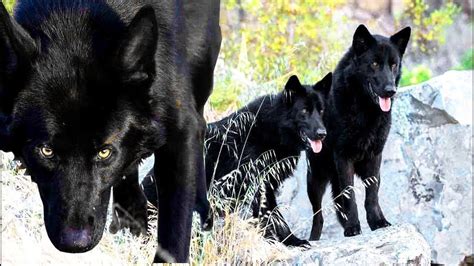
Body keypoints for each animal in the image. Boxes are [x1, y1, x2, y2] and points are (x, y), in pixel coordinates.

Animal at [143, 73, 332, 247]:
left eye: (321, 111)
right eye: (304, 111)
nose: (323, 134)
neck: (274, 127)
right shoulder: (260, 187)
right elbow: (274, 217)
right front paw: (288, 241)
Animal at [308, 25, 412, 240]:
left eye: (393, 65)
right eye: (374, 64)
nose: (391, 90)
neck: (366, 111)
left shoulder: (375, 157)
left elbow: (371, 195)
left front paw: (377, 222)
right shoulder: (343, 157)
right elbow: (351, 197)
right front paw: (353, 227)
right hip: (315, 179)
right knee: (318, 215)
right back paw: (312, 239)